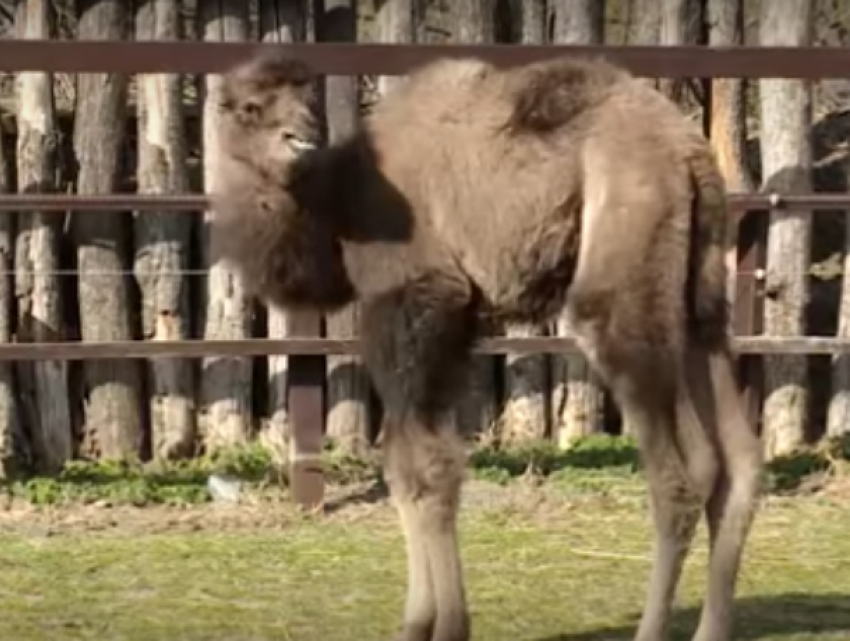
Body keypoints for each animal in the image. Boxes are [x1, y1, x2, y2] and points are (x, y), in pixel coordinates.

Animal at [209, 50, 760, 640]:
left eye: (306, 102)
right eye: (247, 106)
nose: (301, 138)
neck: (342, 206)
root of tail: (688, 153)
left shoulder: (417, 299)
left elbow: (426, 468)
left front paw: (446, 625)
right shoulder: (454, 329)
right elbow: (408, 465)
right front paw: (419, 623)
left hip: (622, 281)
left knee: (678, 477)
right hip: (701, 299)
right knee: (736, 462)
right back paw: (711, 628)